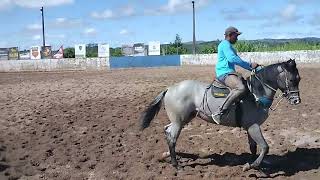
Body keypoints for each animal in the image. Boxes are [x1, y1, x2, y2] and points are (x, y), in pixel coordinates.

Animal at [139, 59, 300, 172]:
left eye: (299, 79)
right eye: (292, 80)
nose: (296, 100)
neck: (255, 94)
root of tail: (170, 88)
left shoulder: (250, 127)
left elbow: (254, 147)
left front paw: (252, 164)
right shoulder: (253, 126)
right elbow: (265, 147)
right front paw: (250, 166)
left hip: (183, 119)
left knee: (167, 130)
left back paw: (168, 156)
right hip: (179, 122)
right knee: (172, 138)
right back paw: (176, 164)